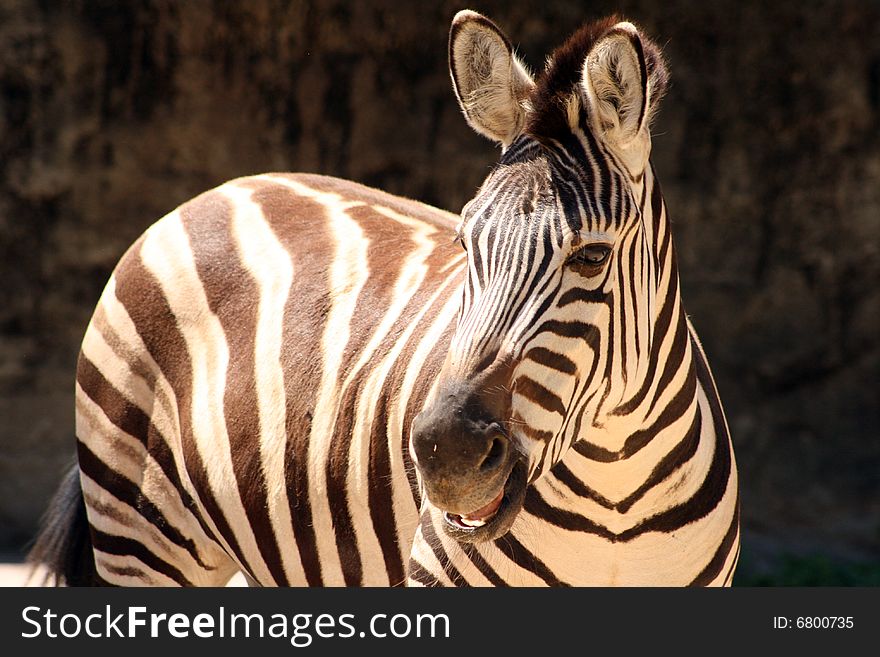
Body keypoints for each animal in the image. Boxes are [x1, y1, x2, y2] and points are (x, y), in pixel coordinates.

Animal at [31, 9, 736, 584]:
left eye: (591, 257)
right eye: (465, 243)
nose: (447, 456)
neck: (616, 494)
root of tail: (218, 191)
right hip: (138, 529)